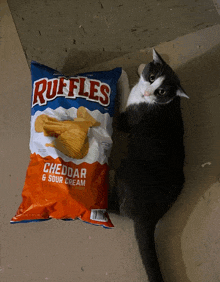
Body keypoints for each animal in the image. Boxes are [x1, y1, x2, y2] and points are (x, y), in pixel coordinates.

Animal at [114, 49, 188, 280]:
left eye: (161, 91)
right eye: (153, 78)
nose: (147, 92)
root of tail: (148, 218)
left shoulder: (128, 118)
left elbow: (123, 101)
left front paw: (122, 76)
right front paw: (140, 67)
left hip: (125, 170)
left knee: (118, 210)